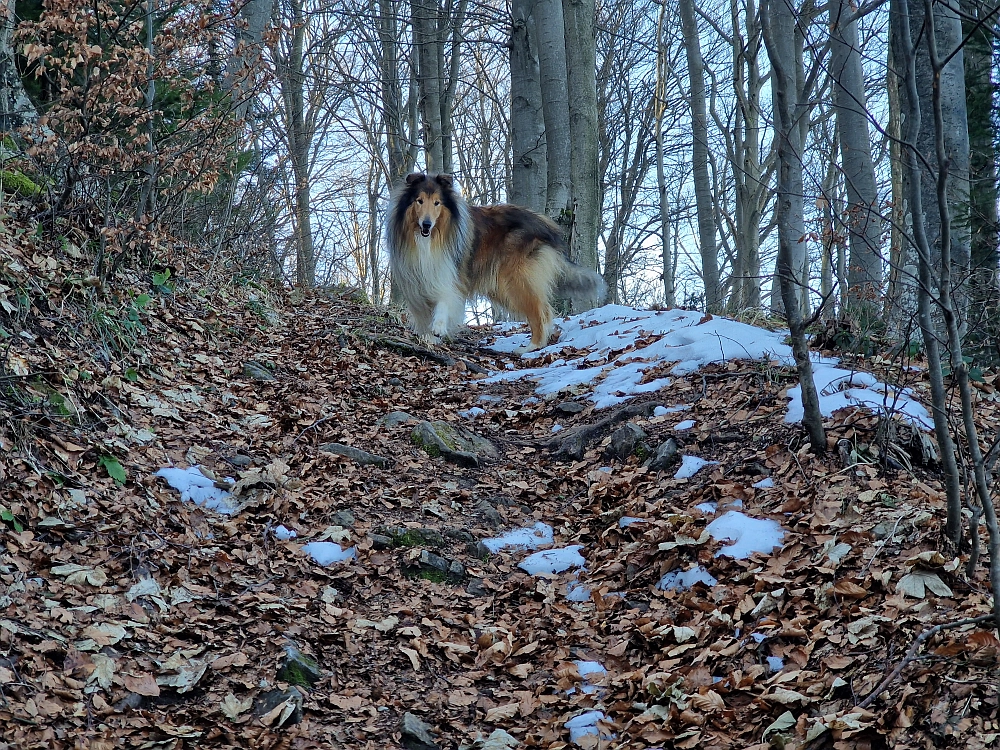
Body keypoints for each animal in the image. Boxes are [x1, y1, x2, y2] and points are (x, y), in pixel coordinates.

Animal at [384, 174, 600, 352]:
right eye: (419, 201)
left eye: (437, 203)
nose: (426, 224)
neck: (430, 240)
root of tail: (547, 226)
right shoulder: (417, 281)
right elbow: (424, 313)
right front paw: (429, 337)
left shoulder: (449, 275)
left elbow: (444, 300)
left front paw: (438, 328)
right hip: (502, 287)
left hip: (517, 281)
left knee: (542, 312)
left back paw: (532, 346)